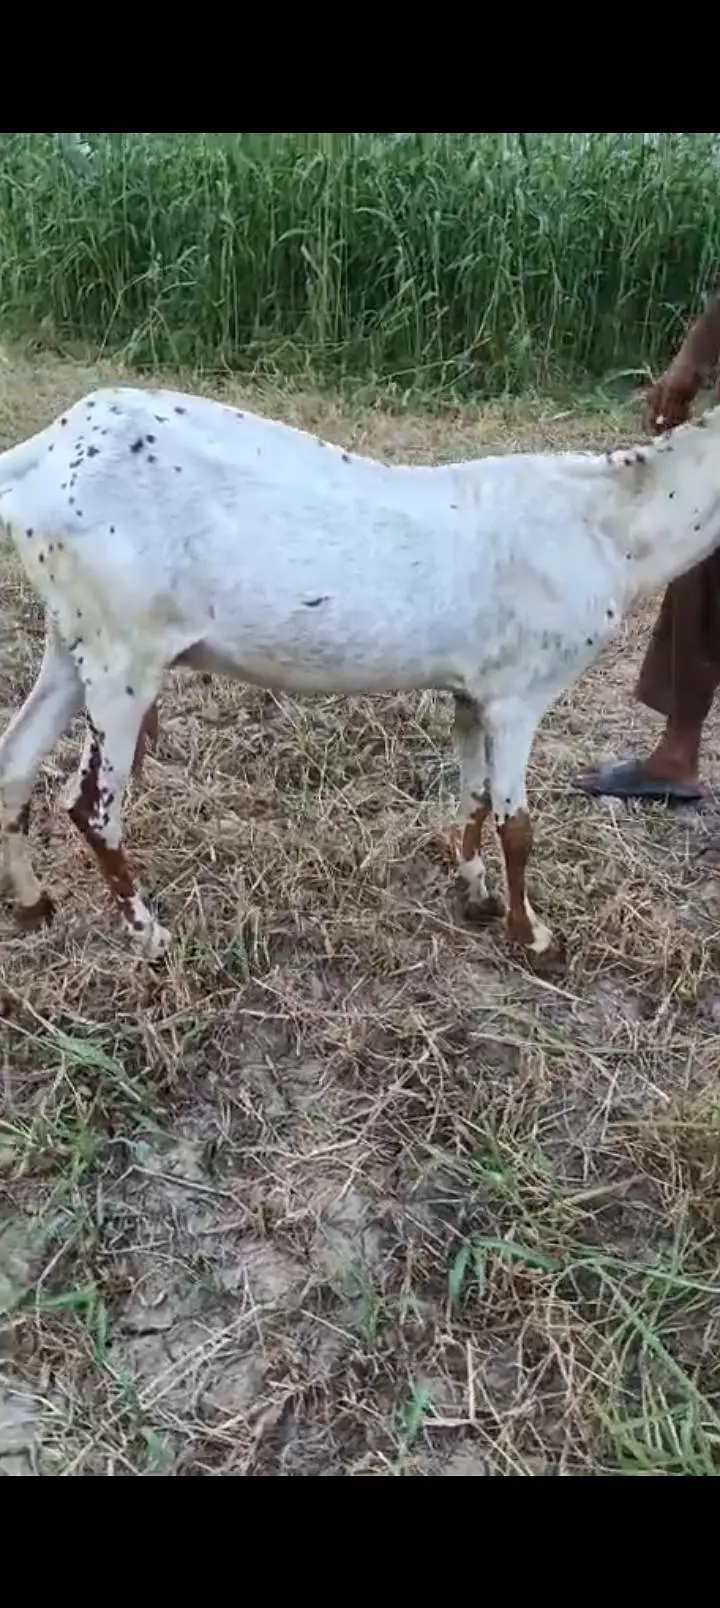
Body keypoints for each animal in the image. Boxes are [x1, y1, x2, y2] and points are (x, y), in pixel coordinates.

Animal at [0, 384, 719, 965]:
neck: (610, 526)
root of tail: (46, 452)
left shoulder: (473, 692)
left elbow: (474, 797)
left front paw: (475, 893)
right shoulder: (521, 695)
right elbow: (517, 826)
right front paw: (534, 938)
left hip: (74, 637)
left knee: (15, 759)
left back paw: (34, 903)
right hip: (124, 652)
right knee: (91, 805)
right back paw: (149, 934)